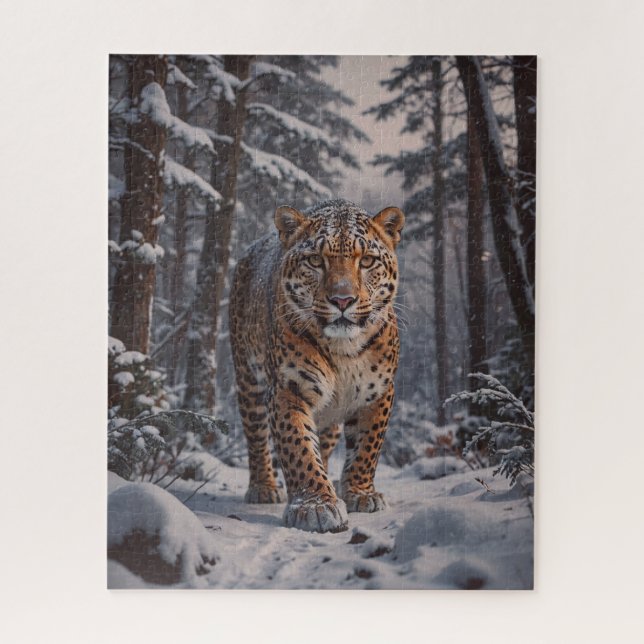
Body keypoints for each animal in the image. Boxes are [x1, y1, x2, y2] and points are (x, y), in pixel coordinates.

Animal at [229, 199, 404, 533]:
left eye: (367, 261)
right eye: (314, 261)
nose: (342, 300)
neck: (343, 351)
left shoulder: (379, 392)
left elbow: (367, 447)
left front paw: (360, 493)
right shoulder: (288, 389)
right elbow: (298, 448)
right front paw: (316, 505)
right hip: (248, 380)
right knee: (256, 435)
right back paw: (263, 487)